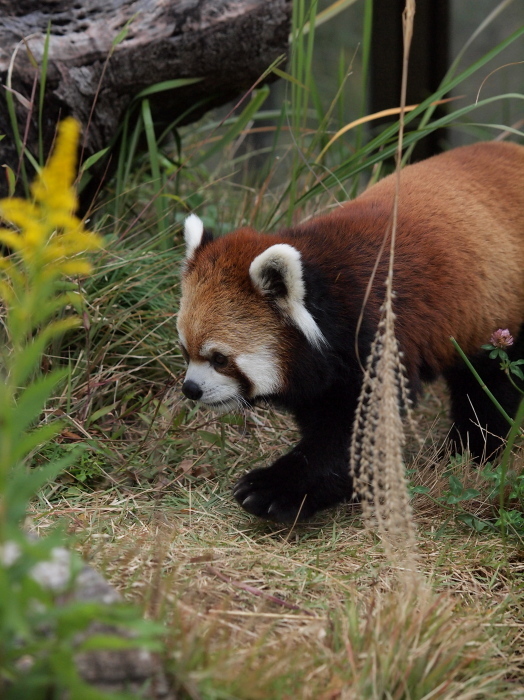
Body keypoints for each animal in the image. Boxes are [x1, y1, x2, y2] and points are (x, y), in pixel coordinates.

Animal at [178, 142, 524, 524]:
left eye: (220, 358)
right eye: (185, 352)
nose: (190, 389)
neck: (332, 293)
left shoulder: (378, 334)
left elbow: (354, 433)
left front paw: (275, 489)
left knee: (489, 386)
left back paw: (473, 449)